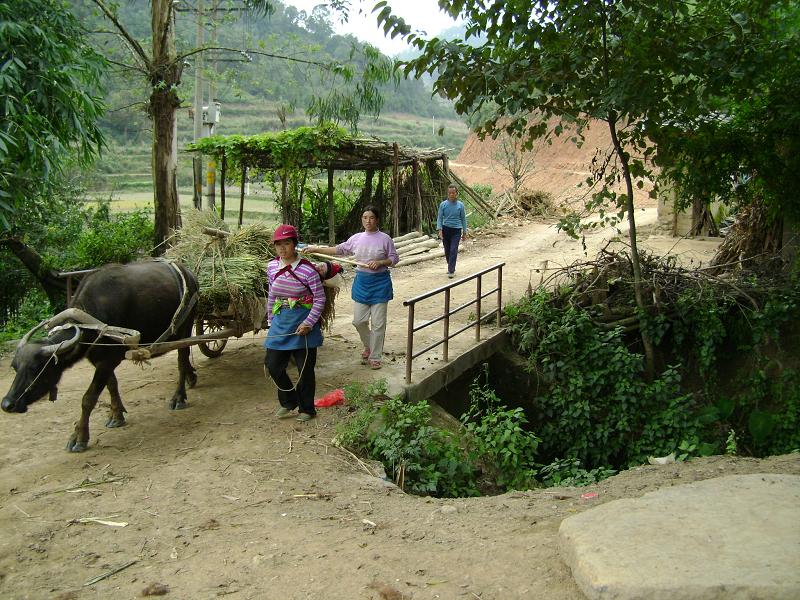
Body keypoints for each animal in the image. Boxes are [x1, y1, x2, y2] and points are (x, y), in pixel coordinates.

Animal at [2, 260, 199, 452]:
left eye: (36, 369)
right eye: (15, 367)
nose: (7, 404)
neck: (93, 320)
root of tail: (189, 274)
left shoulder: (107, 362)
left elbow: (88, 398)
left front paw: (79, 437)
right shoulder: (100, 361)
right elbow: (112, 385)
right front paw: (116, 415)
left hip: (185, 328)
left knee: (182, 360)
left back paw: (178, 398)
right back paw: (192, 377)